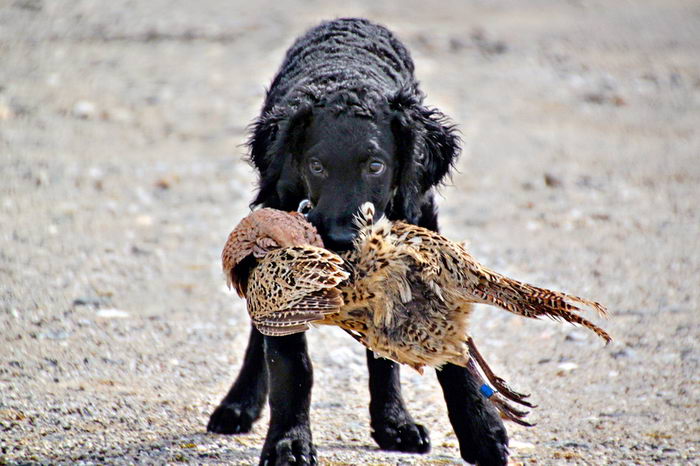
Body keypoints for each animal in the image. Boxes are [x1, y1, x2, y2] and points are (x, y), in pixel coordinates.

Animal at [208, 18, 508, 466]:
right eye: (315, 165)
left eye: (376, 165)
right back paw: (239, 404)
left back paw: (394, 423)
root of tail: (348, 21)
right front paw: (288, 443)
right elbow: (291, 364)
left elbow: (445, 347)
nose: (339, 239)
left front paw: (481, 429)